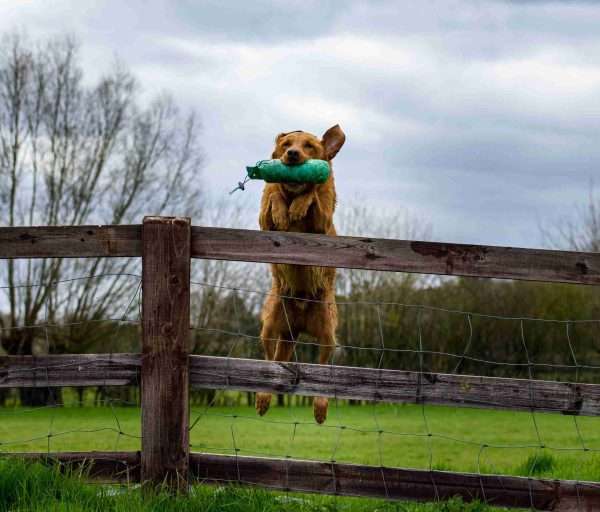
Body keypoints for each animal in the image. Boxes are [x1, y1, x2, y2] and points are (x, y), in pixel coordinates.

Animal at [254, 124, 346, 424]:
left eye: (309, 146)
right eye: (286, 144)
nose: (292, 154)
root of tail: (300, 321)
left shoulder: (323, 224)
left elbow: (313, 195)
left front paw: (298, 205)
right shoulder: (264, 224)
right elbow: (274, 194)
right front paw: (284, 210)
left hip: (328, 335)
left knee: (322, 370)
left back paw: (320, 406)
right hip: (271, 328)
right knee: (271, 361)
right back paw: (263, 397)